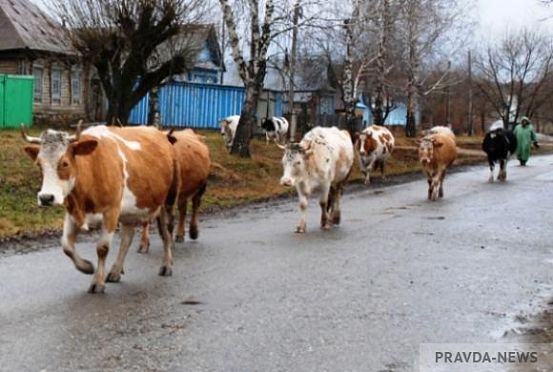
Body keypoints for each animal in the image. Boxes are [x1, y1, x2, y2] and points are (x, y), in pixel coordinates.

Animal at [21, 123, 177, 292]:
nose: (46, 198)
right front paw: (86, 267)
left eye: (65, 163)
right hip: (129, 212)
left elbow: (102, 248)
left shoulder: (111, 211)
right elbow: (66, 246)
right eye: (39, 164)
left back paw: (167, 265)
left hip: (167, 202)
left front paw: (97, 282)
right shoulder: (72, 212)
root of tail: (158, 132)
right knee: (127, 238)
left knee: (166, 233)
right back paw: (115, 271)